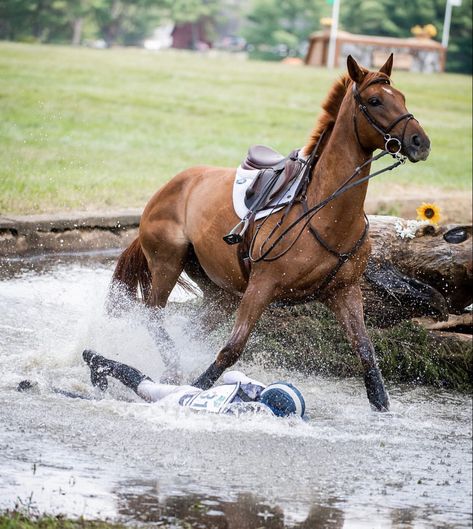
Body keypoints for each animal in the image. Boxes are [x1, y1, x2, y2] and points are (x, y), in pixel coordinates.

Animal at [112, 55, 430, 410]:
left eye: (401, 97)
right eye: (375, 101)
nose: (421, 142)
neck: (325, 210)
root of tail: (168, 187)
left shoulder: (344, 291)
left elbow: (367, 356)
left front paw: (382, 407)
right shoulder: (262, 286)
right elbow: (231, 349)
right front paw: (195, 391)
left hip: (220, 291)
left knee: (193, 325)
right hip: (168, 262)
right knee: (153, 314)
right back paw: (173, 370)